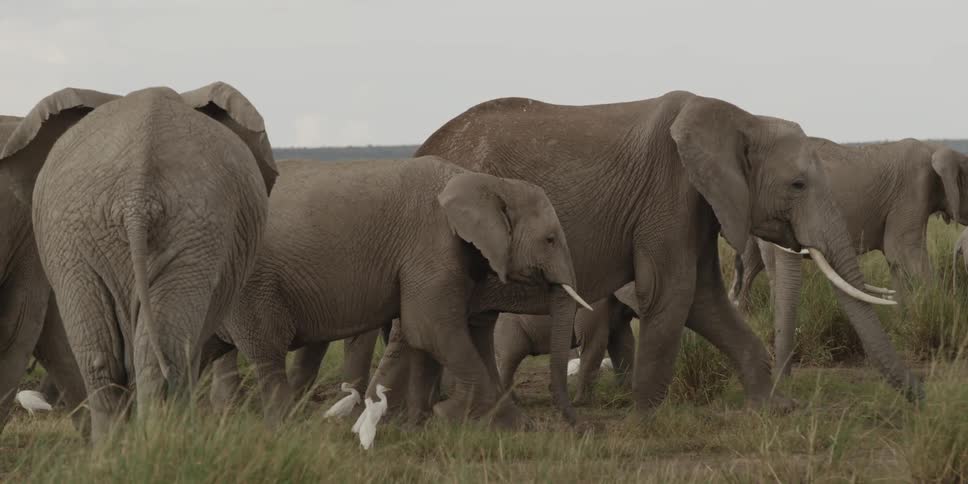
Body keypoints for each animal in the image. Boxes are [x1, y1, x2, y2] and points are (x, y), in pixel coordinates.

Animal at [213, 157, 587, 428]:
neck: (485, 181)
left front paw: (419, 423)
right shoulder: (431, 246)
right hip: (252, 283)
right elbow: (432, 329)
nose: (581, 427)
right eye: (550, 239)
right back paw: (281, 425)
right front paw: (483, 420)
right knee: (265, 350)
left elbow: (421, 336)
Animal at [494, 283, 638, 406]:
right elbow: (595, 341)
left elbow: (623, 342)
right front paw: (580, 403)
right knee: (510, 359)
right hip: (509, 328)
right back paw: (512, 404)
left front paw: (626, 397)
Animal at [728, 140, 968, 376]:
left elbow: (895, 261)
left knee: (751, 266)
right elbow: (903, 251)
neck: (936, 149)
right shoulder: (913, 191)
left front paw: (903, 324)